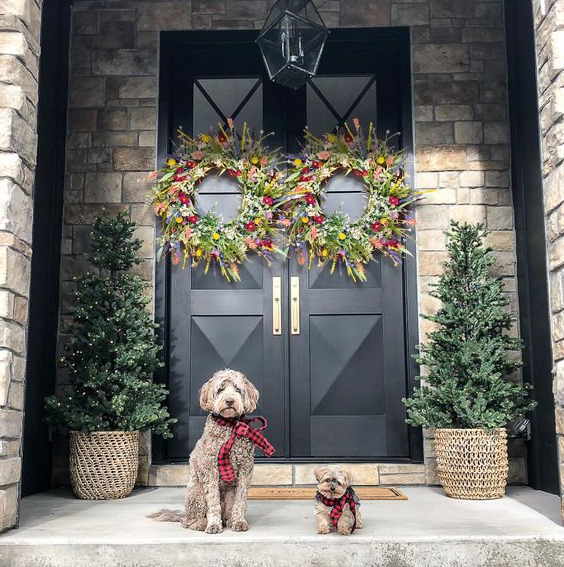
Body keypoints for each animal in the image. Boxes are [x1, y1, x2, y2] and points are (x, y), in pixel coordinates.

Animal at [145, 370, 260, 536]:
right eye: (220, 390)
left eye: (238, 390)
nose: (230, 401)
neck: (229, 425)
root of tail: (184, 515)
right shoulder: (210, 469)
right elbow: (213, 501)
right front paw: (213, 525)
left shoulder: (245, 470)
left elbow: (240, 499)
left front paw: (239, 521)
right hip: (197, 493)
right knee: (191, 521)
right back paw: (201, 523)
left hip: (227, 494)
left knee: (227, 510)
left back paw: (229, 520)